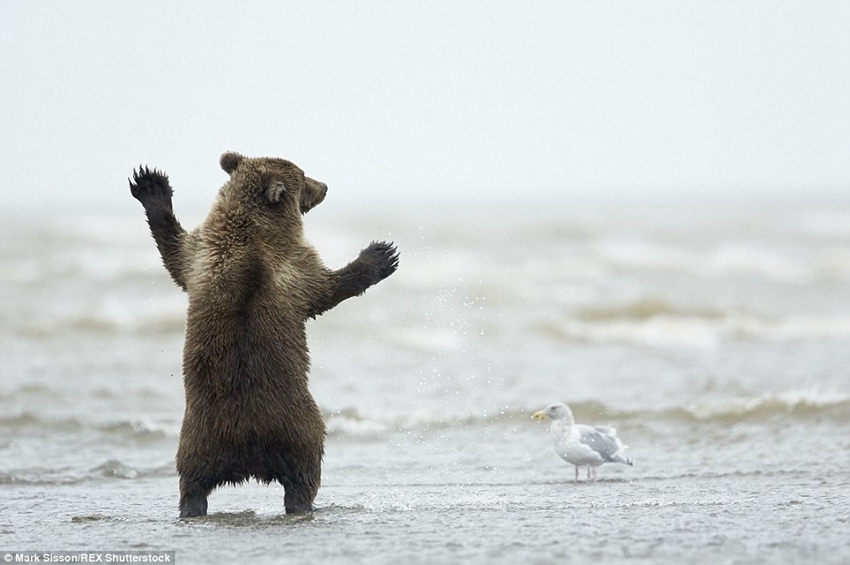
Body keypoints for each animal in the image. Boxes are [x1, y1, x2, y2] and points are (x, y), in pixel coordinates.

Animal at [129, 152, 399, 518]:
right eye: (303, 177)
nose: (325, 186)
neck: (250, 230)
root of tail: (248, 451)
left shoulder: (204, 256)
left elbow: (175, 251)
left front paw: (150, 184)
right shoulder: (294, 267)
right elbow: (327, 288)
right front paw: (381, 254)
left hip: (198, 438)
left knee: (192, 480)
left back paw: (191, 508)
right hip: (298, 427)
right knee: (304, 473)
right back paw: (302, 504)